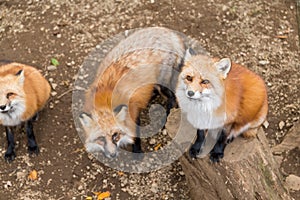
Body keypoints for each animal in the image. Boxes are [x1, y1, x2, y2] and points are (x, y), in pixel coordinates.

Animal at [78, 27, 186, 159]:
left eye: (115, 135)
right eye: (101, 139)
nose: (112, 155)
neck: (105, 98)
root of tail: (167, 31)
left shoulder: (133, 111)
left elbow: (136, 134)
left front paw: (137, 151)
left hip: (162, 83)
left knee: (172, 97)